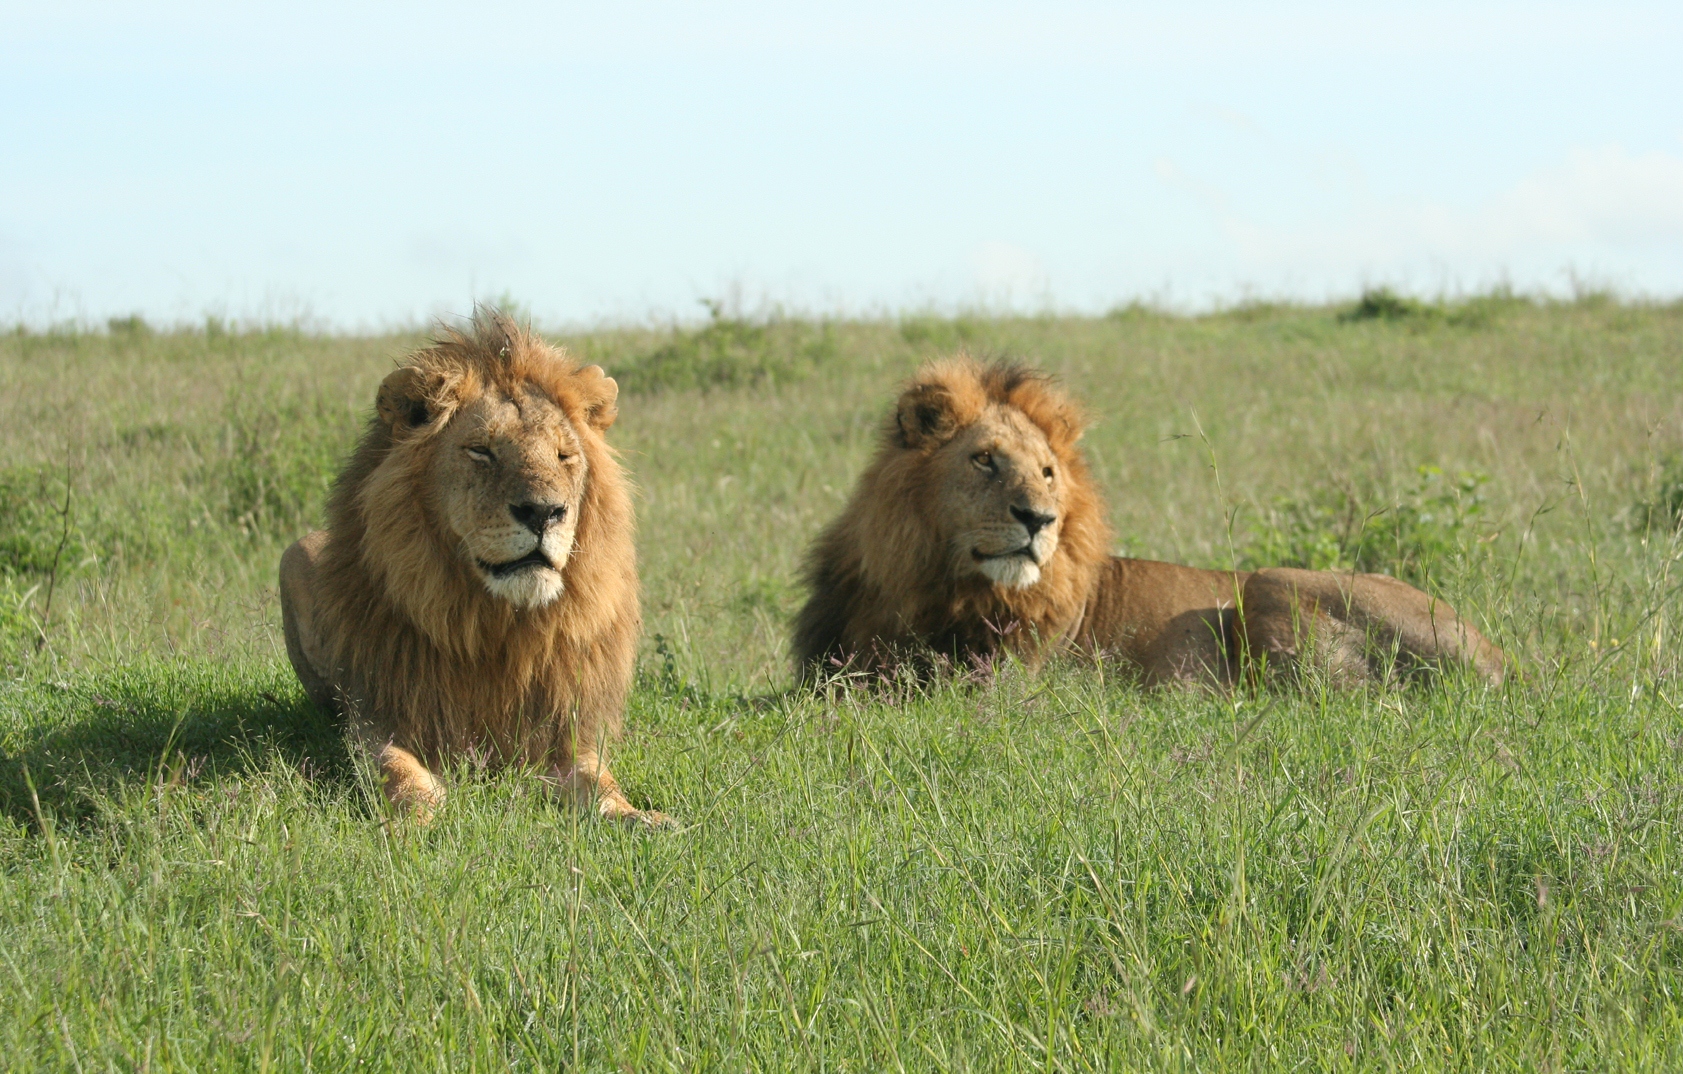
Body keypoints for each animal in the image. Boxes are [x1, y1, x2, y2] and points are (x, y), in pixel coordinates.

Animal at [279, 311, 666, 824]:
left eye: (564, 455)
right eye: (482, 451)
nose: (544, 512)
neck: (496, 624)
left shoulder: (564, 734)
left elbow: (600, 781)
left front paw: (643, 818)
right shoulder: (378, 717)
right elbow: (395, 769)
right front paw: (421, 817)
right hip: (295, 554)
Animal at [794, 360, 1507, 690]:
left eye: (1047, 472)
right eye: (984, 460)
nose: (1039, 518)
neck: (931, 584)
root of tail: (1503, 659)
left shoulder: (999, 688)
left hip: (1271, 584)